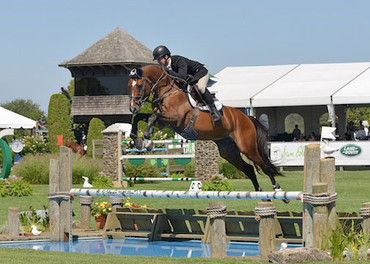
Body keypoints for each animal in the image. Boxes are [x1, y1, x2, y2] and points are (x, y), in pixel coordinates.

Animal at [129, 65, 284, 198]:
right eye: (129, 85)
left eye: (139, 85)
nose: (132, 108)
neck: (167, 92)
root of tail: (247, 118)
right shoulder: (163, 122)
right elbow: (140, 117)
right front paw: (137, 140)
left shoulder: (175, 118)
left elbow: (151, 117)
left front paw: (147, 140)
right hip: (228, 151)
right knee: (249, 169)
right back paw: (258, 192)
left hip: (247, 147)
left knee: (264, 166)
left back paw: (278, 190)